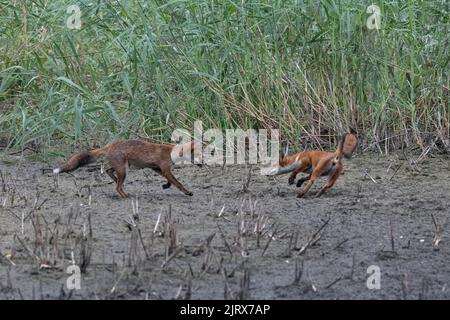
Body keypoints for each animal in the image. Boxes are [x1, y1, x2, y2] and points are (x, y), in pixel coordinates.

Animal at [51, 140, 204, 198]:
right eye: (198, 155)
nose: (203, 163)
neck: (171, 152)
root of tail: (109, 145)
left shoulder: (157, 169)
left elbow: (170, 182)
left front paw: (165, 186)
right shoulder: (165, 168)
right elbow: (178, 183)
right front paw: (187, 192)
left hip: (121, 168)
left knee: (109, 172)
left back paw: (117, 183)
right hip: (124, 170)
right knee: (117, 187)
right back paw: (125, 196)